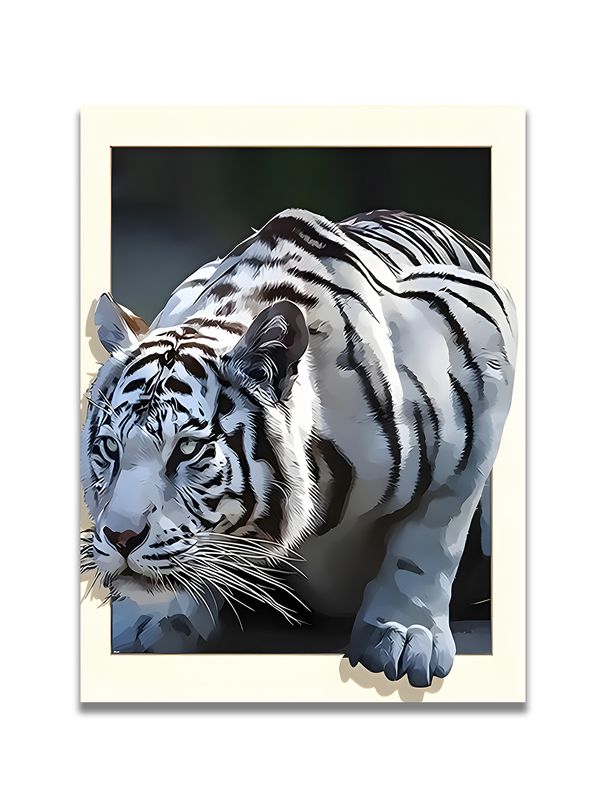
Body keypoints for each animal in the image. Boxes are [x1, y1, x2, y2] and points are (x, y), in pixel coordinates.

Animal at [81, 207, 516, 685]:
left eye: (187, 449)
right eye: (110, 448)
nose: (120, 538)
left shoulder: (484, 339)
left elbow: (432, 533)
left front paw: (402, 633)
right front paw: (153, 616)